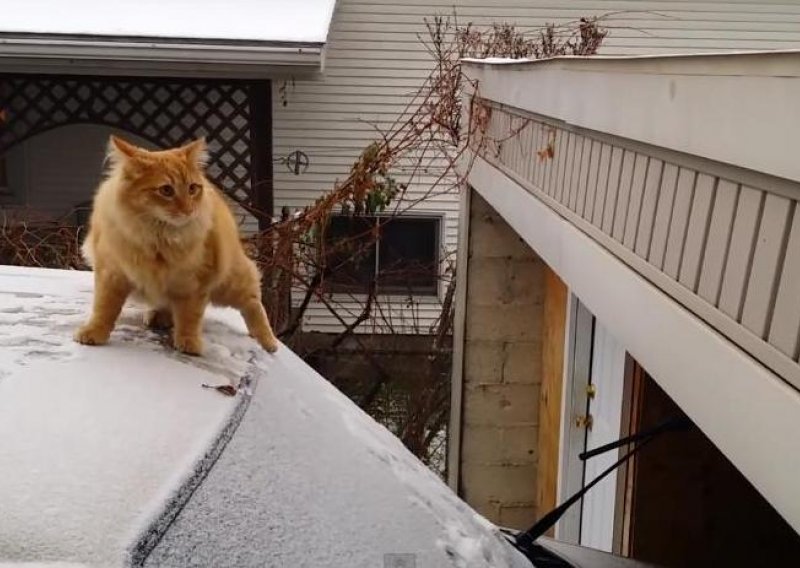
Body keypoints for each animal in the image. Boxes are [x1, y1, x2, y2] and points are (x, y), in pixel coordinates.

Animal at [75, 135, 280, 356]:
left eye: (192, 188)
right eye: (166, 190)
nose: (189, 210)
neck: (157, 237)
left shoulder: (195, 283)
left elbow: (189, 317)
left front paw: (188, 343)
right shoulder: (111, 273)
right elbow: (104, 309)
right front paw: (94, 332)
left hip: (231, 283)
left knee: (254, 304)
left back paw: (268, 341)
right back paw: (159, 317)